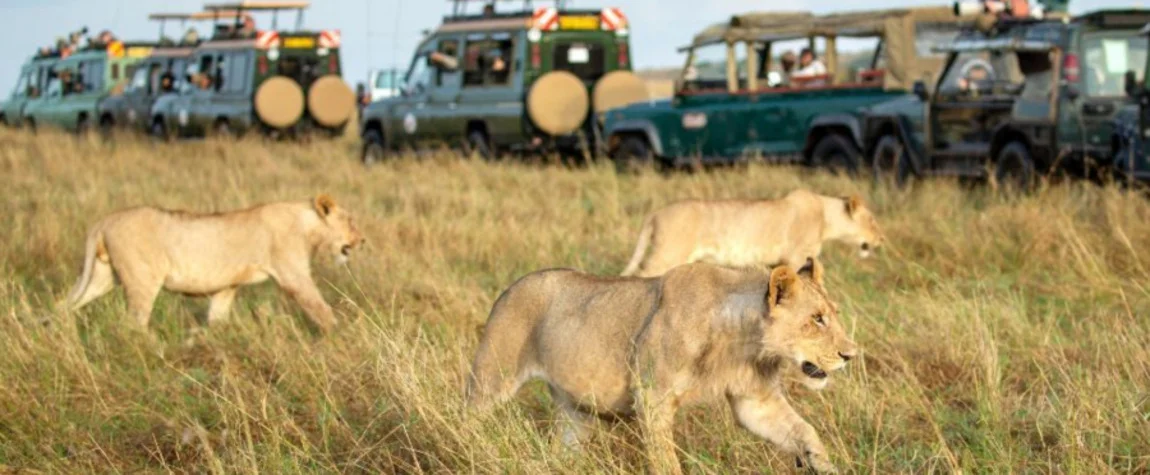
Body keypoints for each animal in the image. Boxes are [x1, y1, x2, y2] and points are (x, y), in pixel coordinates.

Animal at [67, 192, 363, 328]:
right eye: (350, 221)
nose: (362, 240)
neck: (306, 223)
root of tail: (105, 220)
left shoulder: (227, 286)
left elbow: (217, 317)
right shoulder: (295, 276)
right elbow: (320, 308)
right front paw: (340, 334)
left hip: (101, 276)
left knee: (65, 304)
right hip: (142, 281)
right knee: (134, 324)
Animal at [466, 258, 855, 473]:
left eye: (834, 314)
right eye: (817, 319)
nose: (850, 354)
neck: (742, 341)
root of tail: (511, 286)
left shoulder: (755, 401)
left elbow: (805, 432)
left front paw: (825, 465)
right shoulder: (651, 396)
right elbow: (666, 462)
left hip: (575, 411)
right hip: (491, 378)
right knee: (468, 415)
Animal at [621, 187, 878, 277]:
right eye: (872, 220)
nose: (881, 239)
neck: (826, 216)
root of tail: (655, 213)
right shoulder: (795, 257)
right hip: (667, 255)